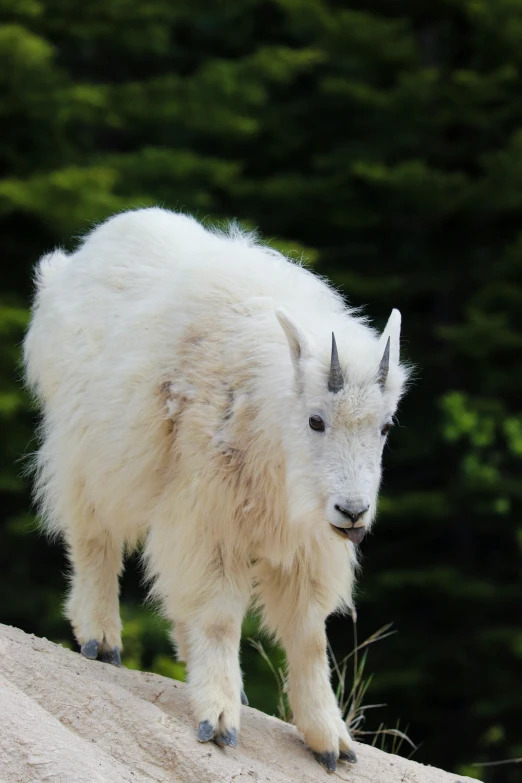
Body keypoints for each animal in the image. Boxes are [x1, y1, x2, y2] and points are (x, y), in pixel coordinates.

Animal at [23, 207, 406, 772]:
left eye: (384, 426)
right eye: (315, 420)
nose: (353, 512)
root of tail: (68, 266)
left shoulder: (307, 542)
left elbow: (308, 637)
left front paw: (330, 740)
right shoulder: (207, 512)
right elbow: (222, 617)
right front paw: (218, 722)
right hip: (87, 454)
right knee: (94, 537)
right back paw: (101, 638)